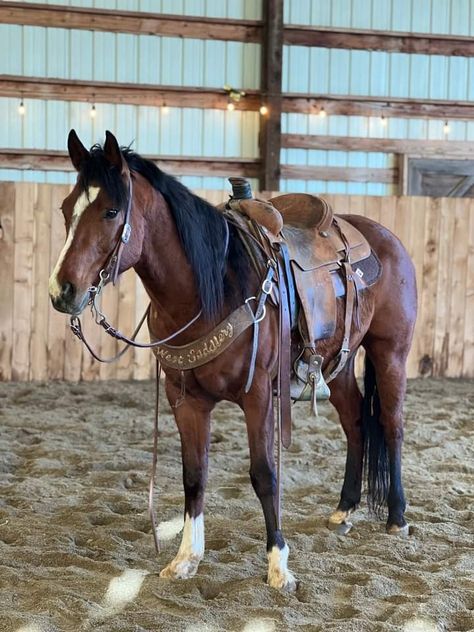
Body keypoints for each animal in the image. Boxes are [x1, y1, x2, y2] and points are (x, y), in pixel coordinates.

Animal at [49, 131, 414, 592]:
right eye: (66, 208)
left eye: (111, 211)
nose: (61, 291)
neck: (213, 288)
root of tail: (382, 236)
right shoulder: (185, 399)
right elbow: (194, 474)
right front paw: (186, 558)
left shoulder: (257, 396)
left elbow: (264, 475)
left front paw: (279, 564)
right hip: (339, 365)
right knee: (356, 424)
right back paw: (345, 508)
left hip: (390, 353)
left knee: (391, 425)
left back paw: (397, 516)